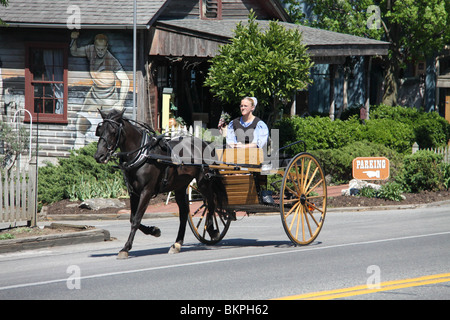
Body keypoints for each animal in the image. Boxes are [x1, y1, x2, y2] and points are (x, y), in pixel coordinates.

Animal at [95, 109, 229, 258]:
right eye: (100, 131)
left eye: (113, 131)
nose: (99, 156)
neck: (143, 154)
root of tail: (205, 143)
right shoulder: (133, 192)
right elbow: (132, 218)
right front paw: (154, 230)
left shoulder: (146, 192)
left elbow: (136, 219)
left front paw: (125, 248)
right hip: (180, 186)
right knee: (184, 213)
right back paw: (177, 244)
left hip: (203, 182)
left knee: (211, 203)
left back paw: (212, 230)